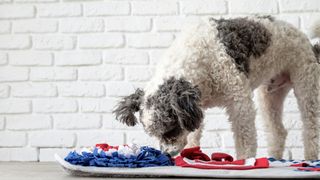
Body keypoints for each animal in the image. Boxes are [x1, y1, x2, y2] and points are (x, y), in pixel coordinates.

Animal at [114, 15, 320, 160]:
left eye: (170, 130)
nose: (167, 153)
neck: (198, 59)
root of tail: (307, 42)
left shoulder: (239, 101)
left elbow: (245, 137)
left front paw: (245, 161)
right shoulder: (196, 108)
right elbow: (193, 134)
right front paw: (192, 153)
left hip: (306, 84)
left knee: (311, 127)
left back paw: (310, 158)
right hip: (270, 95)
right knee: (278, 131)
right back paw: (274, 158)